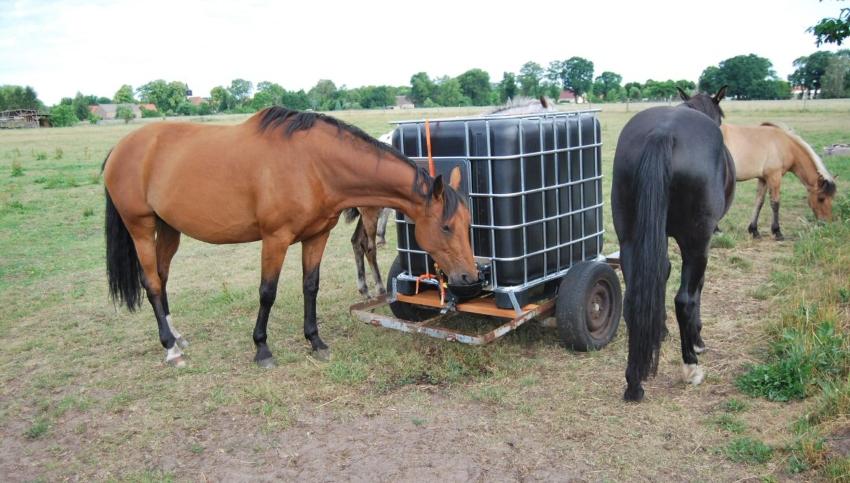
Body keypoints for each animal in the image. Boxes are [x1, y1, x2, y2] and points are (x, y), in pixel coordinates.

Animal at [103, 106, 481, 368]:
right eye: (446, 227)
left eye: (467, 224)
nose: (470, 278)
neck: (313, 164)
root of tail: (121, 148)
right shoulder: (275, 238)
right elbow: (267, 292)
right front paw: (262, 348)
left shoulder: (317, 236)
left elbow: (310, 286)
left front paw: (316, 341)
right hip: (140, 227)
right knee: (152, 283)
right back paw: (170, 349)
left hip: (169, 228)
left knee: (162, 278)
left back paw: (178, 338)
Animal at [611, 86, 735, 401]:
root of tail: (662, 133)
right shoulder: (701, 245)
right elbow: (697, 289)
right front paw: (698, 340)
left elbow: (661, 275)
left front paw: (660, 330)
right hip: (696, 242)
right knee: (685, 300)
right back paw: (691, 366)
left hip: (629, 238)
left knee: (634, 298)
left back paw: (634, 382)